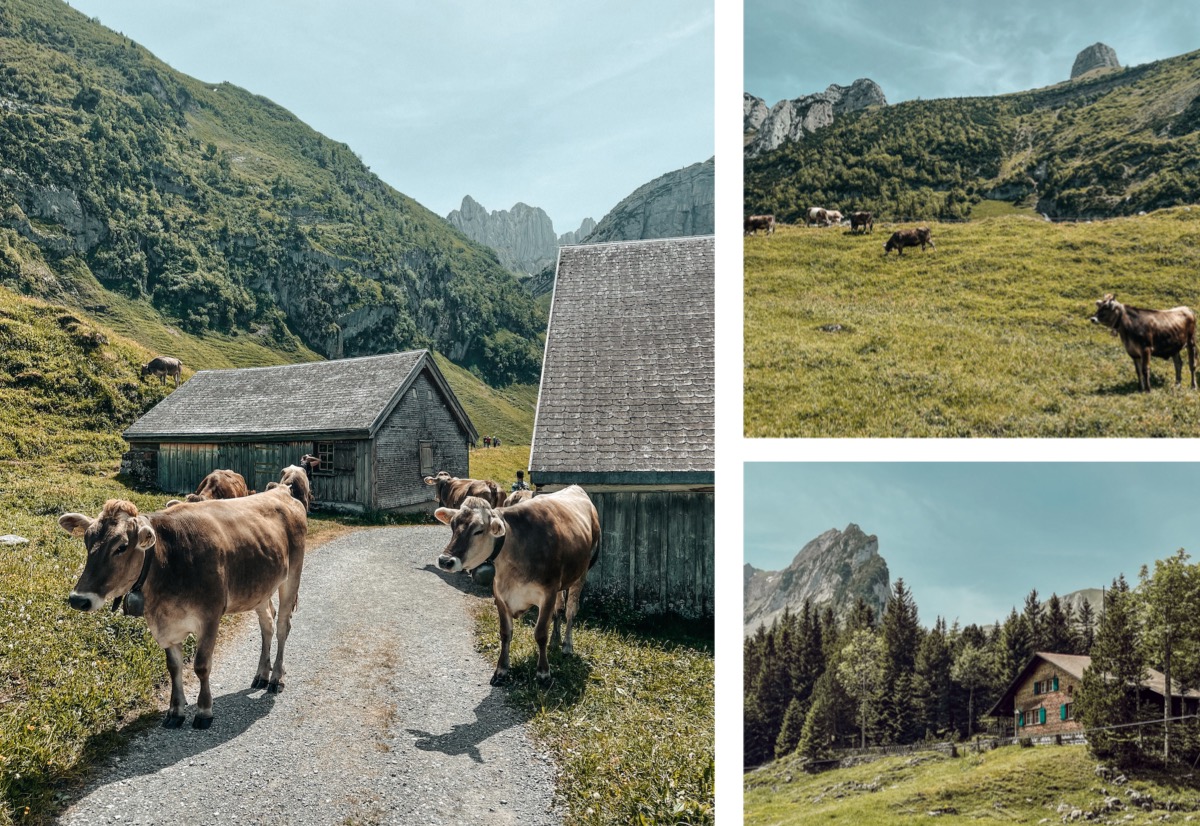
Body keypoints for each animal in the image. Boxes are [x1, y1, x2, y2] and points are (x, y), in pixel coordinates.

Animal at [60, 489, 307, 729]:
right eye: (87, 541)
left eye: (121, 547)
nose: (78, 599)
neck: (169, 561)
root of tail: (282, 491)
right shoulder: (165, 626)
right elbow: (174, 667)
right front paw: (175, 711)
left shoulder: (210, 617)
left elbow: (201, 665)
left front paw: (204, 711)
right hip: (260, 588)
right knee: (267, 623)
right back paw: (261, 675)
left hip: (292, 577)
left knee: (282, 626)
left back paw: (275, 678)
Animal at [434, 487, 597, 686]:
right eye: (452, 526)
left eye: (479, 530)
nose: (445, 561)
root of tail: (575, 487)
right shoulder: (500, 594)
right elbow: (505, 633)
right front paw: (501, 670)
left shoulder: (548, 592)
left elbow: (540, 633)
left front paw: (543, 673)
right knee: (559, 610)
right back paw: (555, 641)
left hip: (581, 574)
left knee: (570, 611)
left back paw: (566, 645)